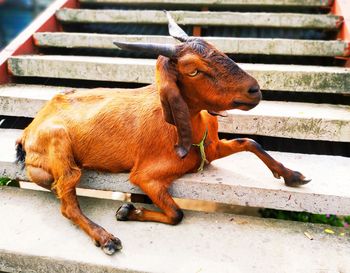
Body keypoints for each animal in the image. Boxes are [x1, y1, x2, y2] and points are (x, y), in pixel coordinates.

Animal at [15, 12, 310, 255]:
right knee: (67, 203)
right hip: (59, 144)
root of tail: (29, 130)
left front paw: (293, 176)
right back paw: (106, 238)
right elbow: (177, 214)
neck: (188, 127)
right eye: (193, 70)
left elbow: (250, 141)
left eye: (218, 50)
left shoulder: (212, 149)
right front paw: (128, 210)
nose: (254, 90)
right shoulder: (146, 176)